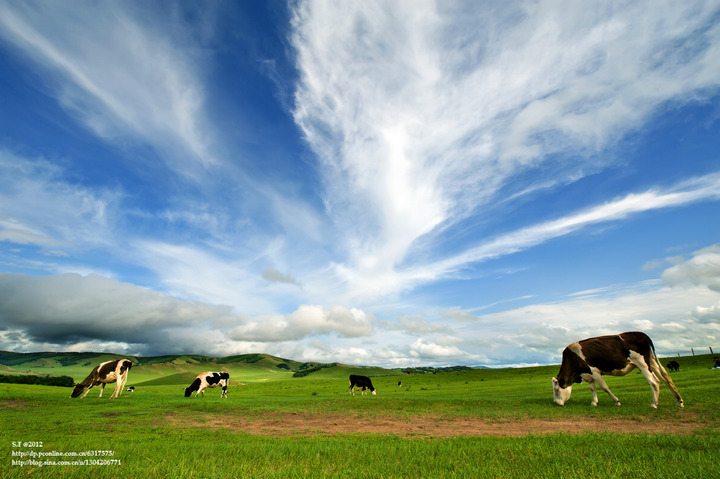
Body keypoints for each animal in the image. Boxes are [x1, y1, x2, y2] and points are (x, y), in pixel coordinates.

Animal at [556, 334, 684, 408]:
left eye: (556, 390)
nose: (557, 403)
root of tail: (643, 334)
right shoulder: (588, 374)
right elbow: (593, 388)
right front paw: (594, 402)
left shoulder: (594, 371)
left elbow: (604, 387)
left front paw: (616, 401)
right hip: (651, 362)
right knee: (666, 378)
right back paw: (679, 401)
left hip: (641, 362)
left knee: (654, 381)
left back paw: (654, 404)